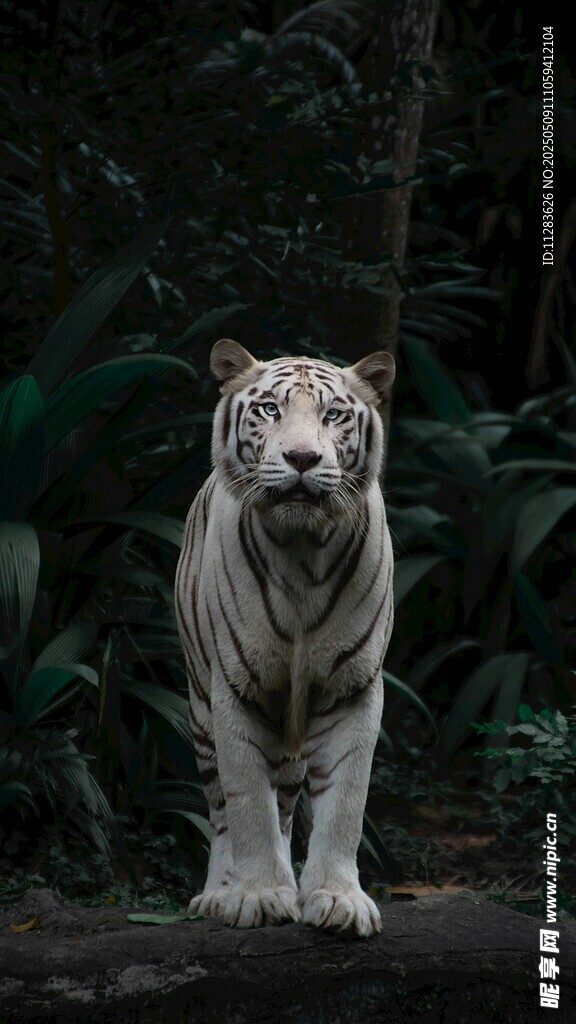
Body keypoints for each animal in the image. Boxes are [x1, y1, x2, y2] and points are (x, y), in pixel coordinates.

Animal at [174, 338, 395, 937]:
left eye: (333, 414)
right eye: (270, 409)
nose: (301, 459)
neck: (302, 552)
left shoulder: (352, 689)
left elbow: (345, 803)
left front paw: (338, 899)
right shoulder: (235, 689)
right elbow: (248, 803)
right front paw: (257, 896)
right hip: (199, 707)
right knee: (221, 810)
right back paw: (218, 894)